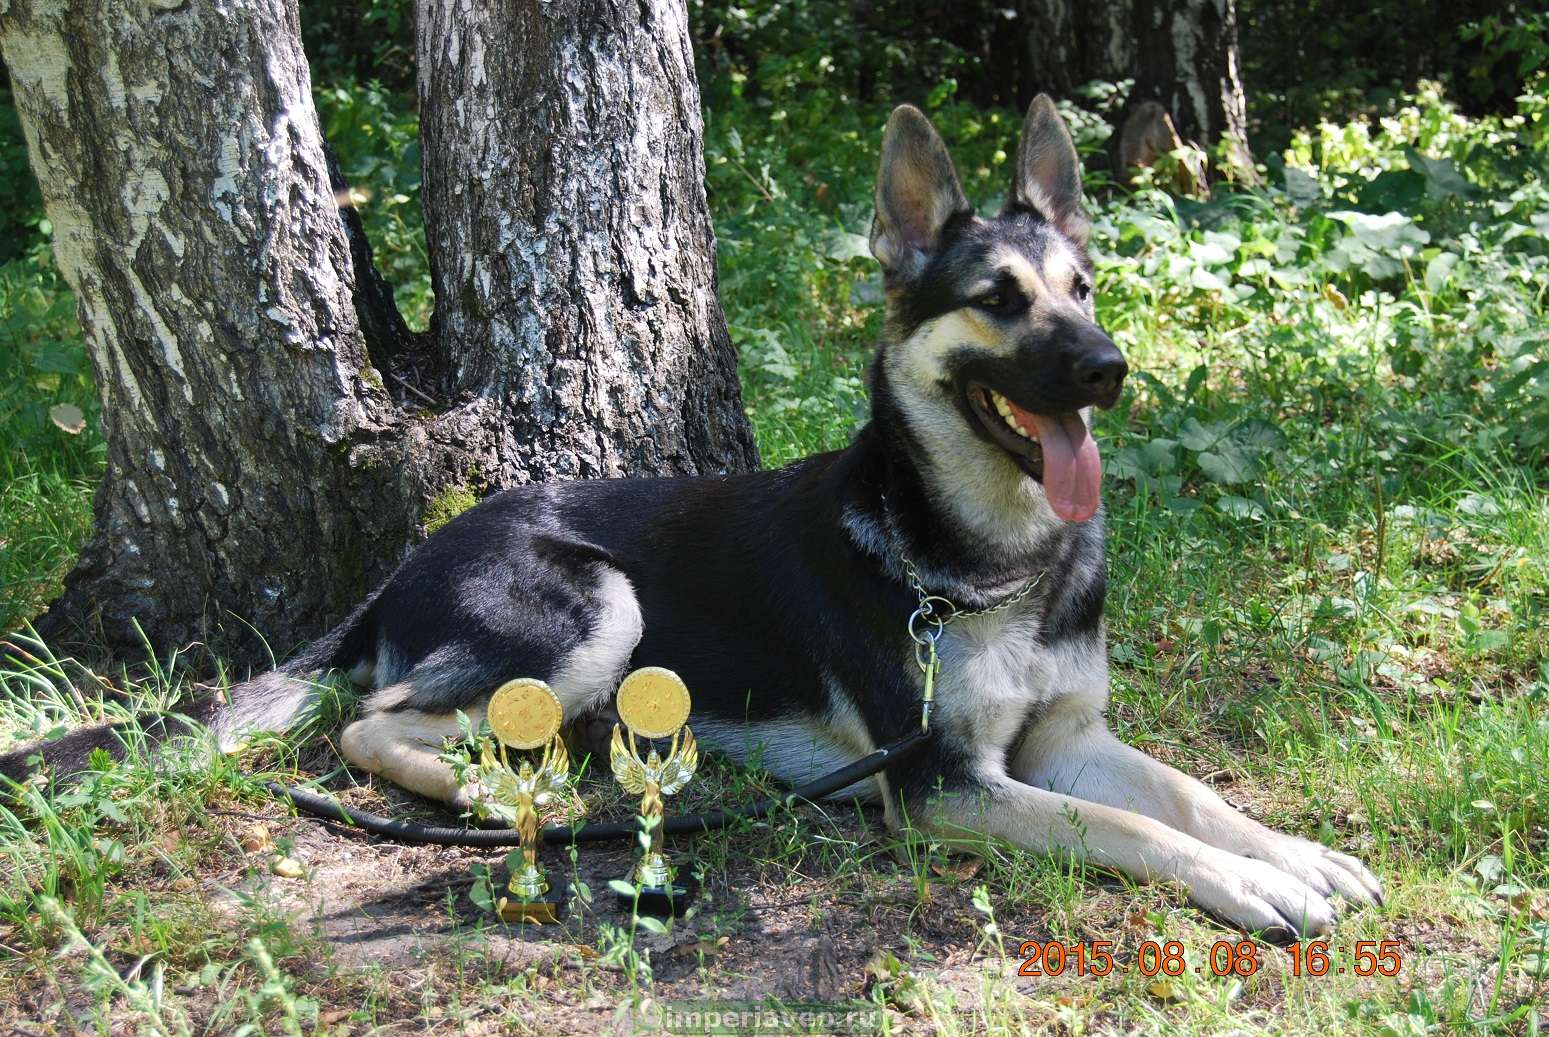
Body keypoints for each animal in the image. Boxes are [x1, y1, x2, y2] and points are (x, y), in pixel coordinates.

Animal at [3, 96, 1380, 936]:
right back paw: (506, 794)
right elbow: (1123, 824)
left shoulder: (1067, 738)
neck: (990, 557)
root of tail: (404, 563)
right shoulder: (944, 783)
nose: (1107, 369)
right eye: (997, 299)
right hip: (598, 603)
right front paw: (1250, 885)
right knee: (371, 720)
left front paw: (1292, 852)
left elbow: (1187, 792)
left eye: (1083, 286)